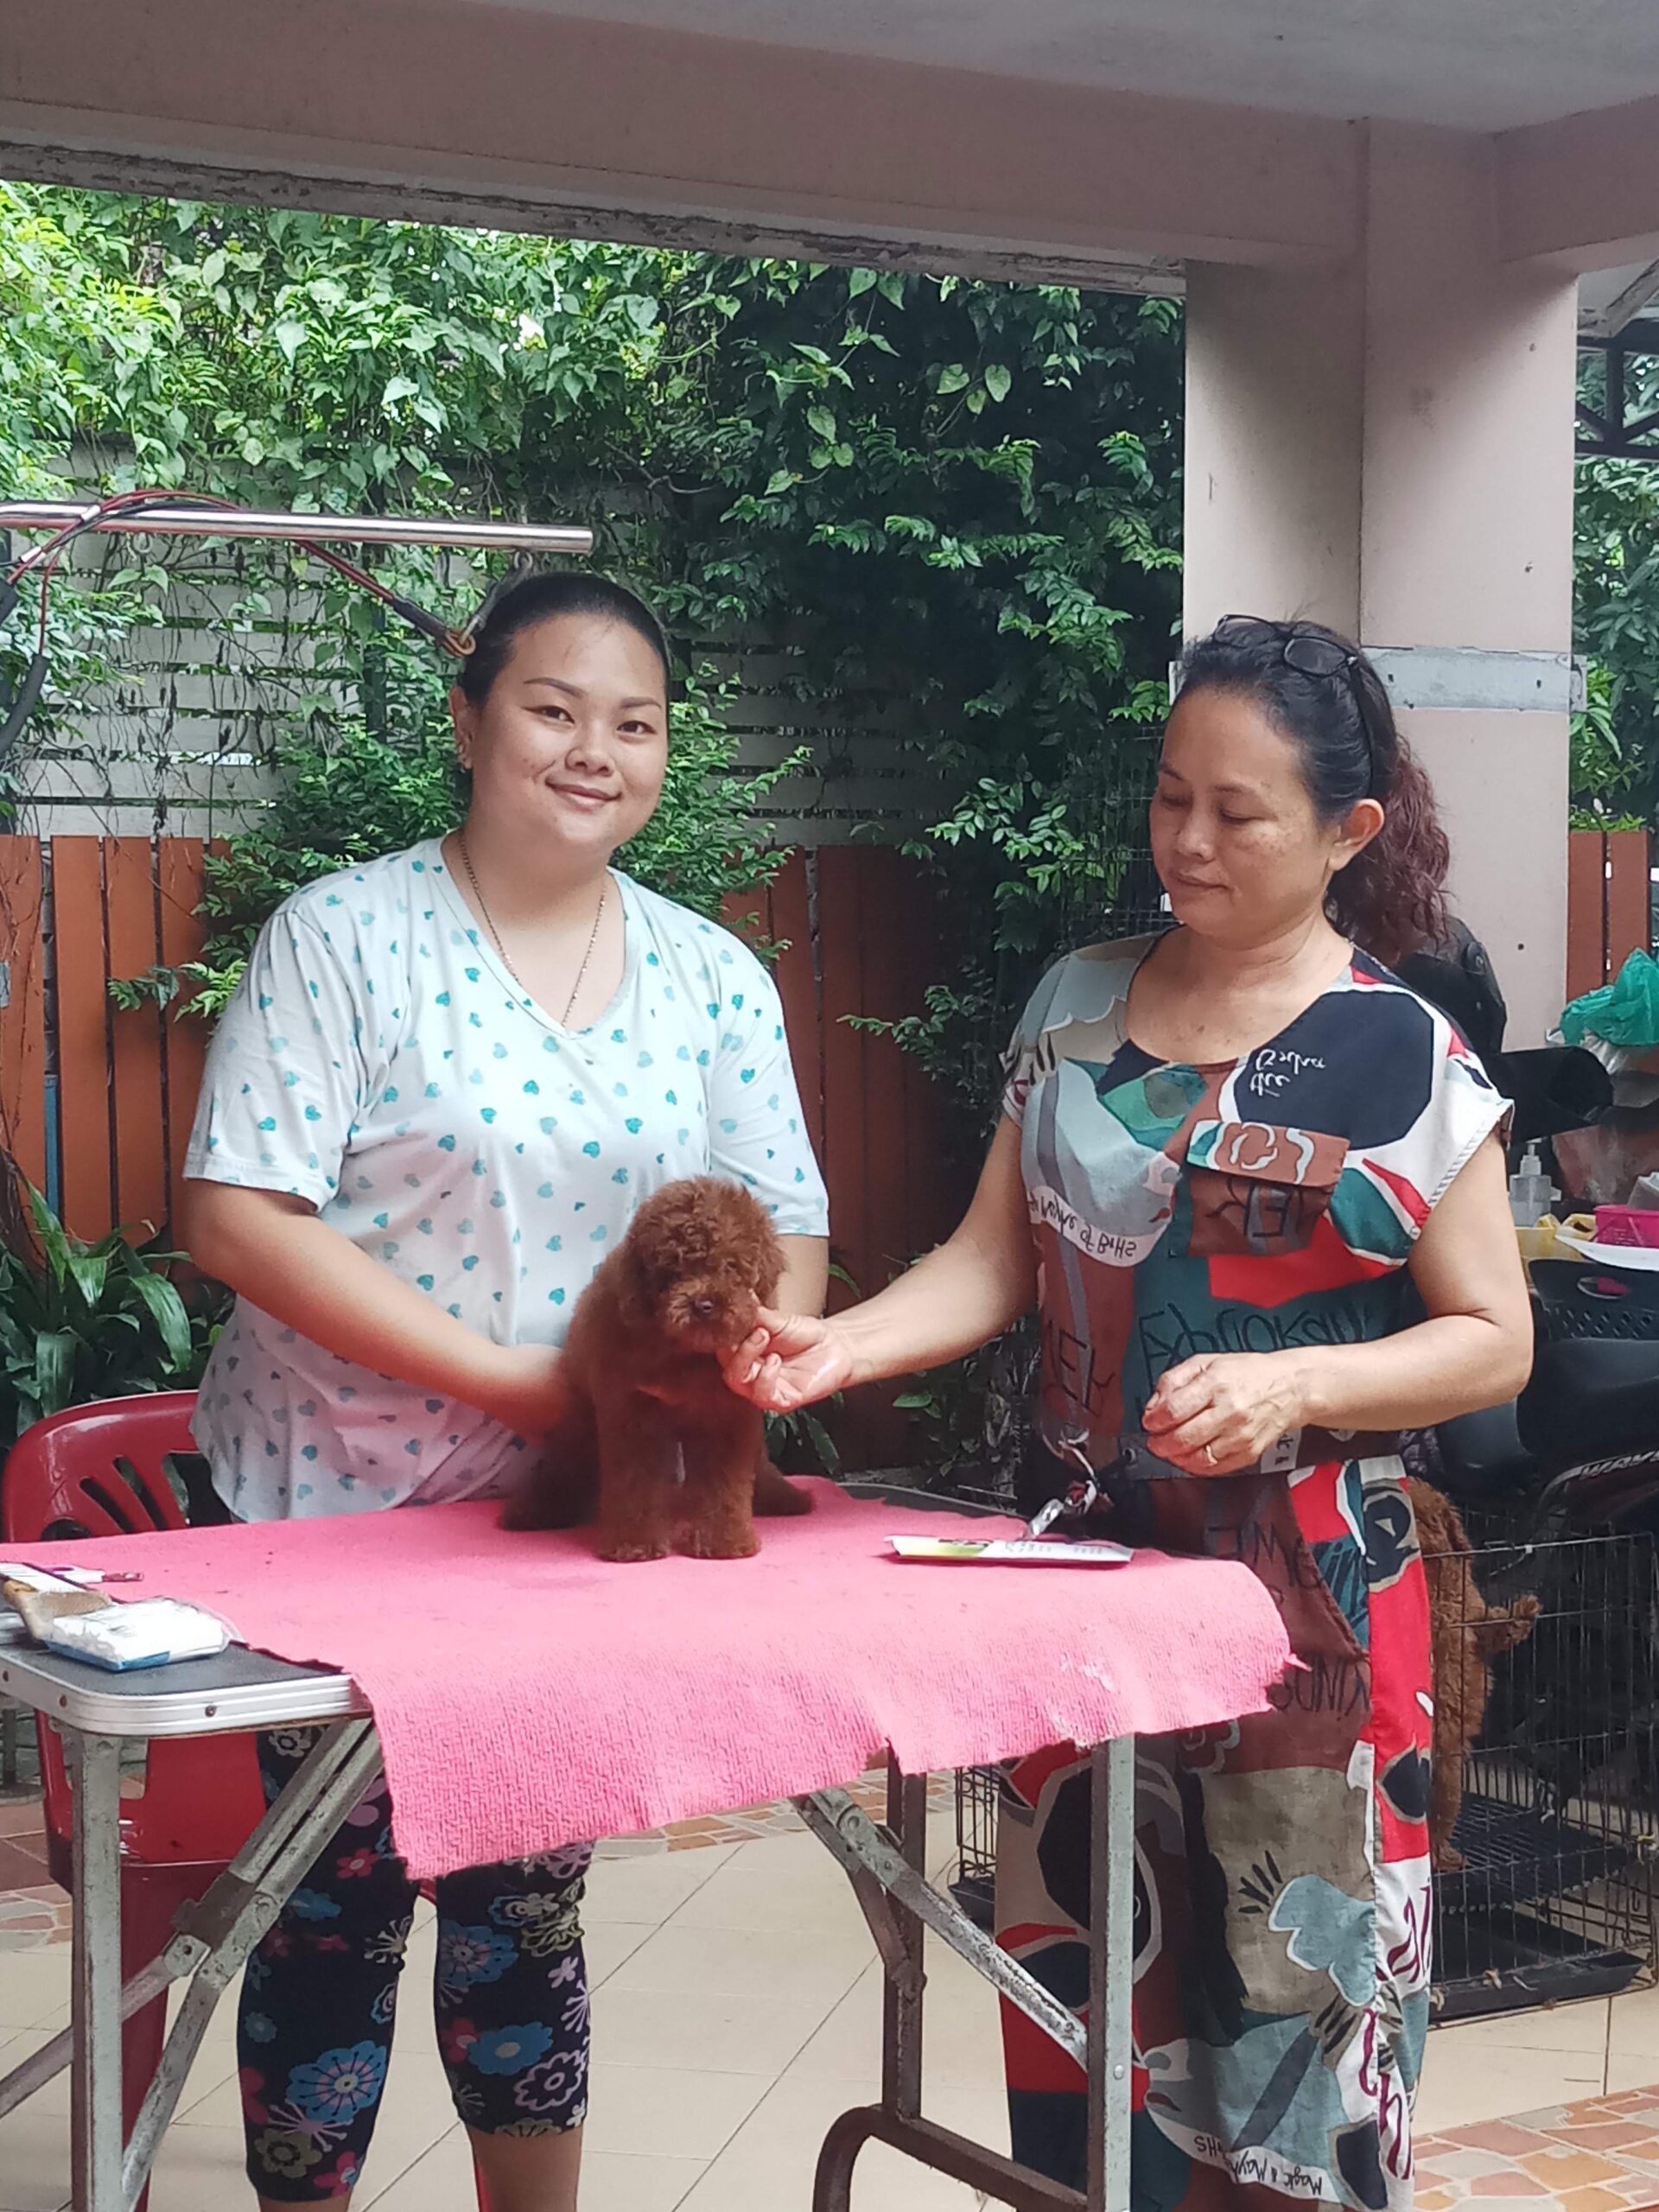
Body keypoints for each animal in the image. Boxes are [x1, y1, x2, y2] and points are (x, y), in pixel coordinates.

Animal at [500, 1176, 811, 1561]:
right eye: (672, 1271)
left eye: (731, 1266)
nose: (704, 1304)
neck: (687, 1353)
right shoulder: (631, 1411)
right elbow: (635, 1482)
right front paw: (634, 1544)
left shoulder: (727, 1414)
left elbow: (724, 1483)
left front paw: (726, 1542)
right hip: (583, 1418)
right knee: (566, 1465)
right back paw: (533, 1512)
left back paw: (785, 1497)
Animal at [1406, 1477, 1539, 1871]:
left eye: (1425, 1517)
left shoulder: (1475, 1623)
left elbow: (1495, 1627)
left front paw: (1524, 1611)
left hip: (1447, 1777)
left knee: (1437, 1821)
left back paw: (1445, 1856)